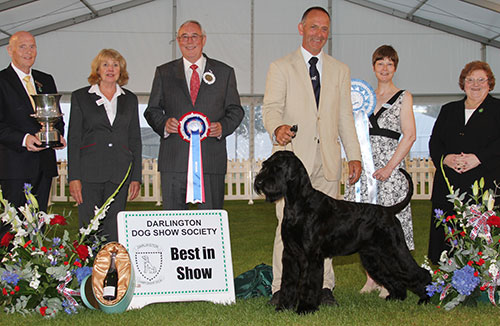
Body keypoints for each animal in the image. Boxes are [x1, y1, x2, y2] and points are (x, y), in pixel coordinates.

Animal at [256, 150, 432, 314]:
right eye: (265, 165)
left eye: (277, 168)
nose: (258, 182)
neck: (299, 203)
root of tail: (389, 211)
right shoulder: (290, 254)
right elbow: (288, 283)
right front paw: (283, 307)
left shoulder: (311, 256)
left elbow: (308, 284)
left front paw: (306, 308)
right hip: (375, 256)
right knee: (393, 277)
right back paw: (396, 296)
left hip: (395, 250)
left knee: (419, 272)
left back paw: (426, 297)